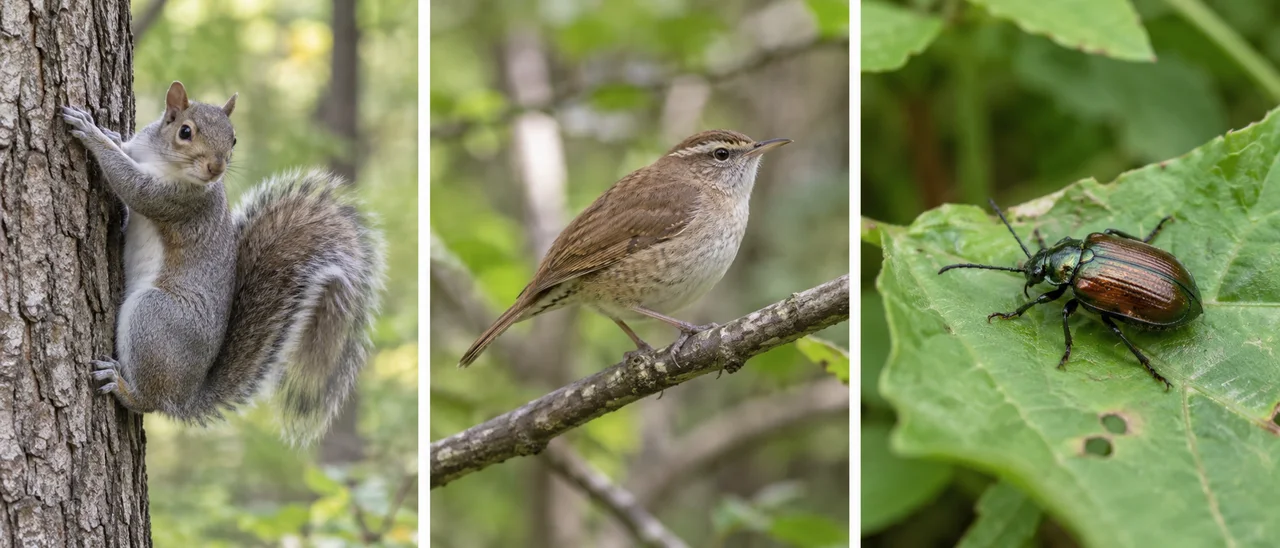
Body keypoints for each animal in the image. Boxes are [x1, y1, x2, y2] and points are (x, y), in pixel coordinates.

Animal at [61, 81, 385, 445]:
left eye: (233, 140)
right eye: (185, 131)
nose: (215, 168)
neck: (162, 157)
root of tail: (185, 396)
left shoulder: (176, 201)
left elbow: (131, 185)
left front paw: (91, 133)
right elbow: (125, 153)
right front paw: (109, 133)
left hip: (155, 318)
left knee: (150, 400)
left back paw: (121, 386)